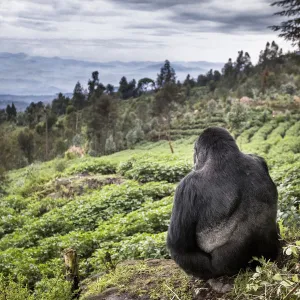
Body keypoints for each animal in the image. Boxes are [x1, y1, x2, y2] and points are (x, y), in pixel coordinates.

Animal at [168, 126, 280, 278]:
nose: (195, 162)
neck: (225, 155)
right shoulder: (259, 159)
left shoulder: (186, 186)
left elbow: (178, 246)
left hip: (218, 269)